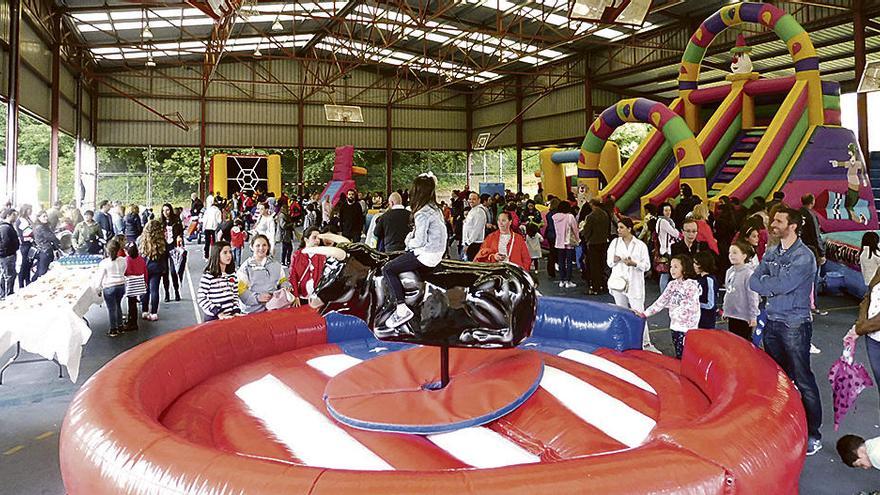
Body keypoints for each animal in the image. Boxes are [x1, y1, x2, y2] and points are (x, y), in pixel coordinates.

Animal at [310, 244, 536, 348]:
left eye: (332, 269)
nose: (311, 297)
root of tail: (523, 281)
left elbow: (385, 330)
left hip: (477, 298)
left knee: (507, 334)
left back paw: (471, 334)